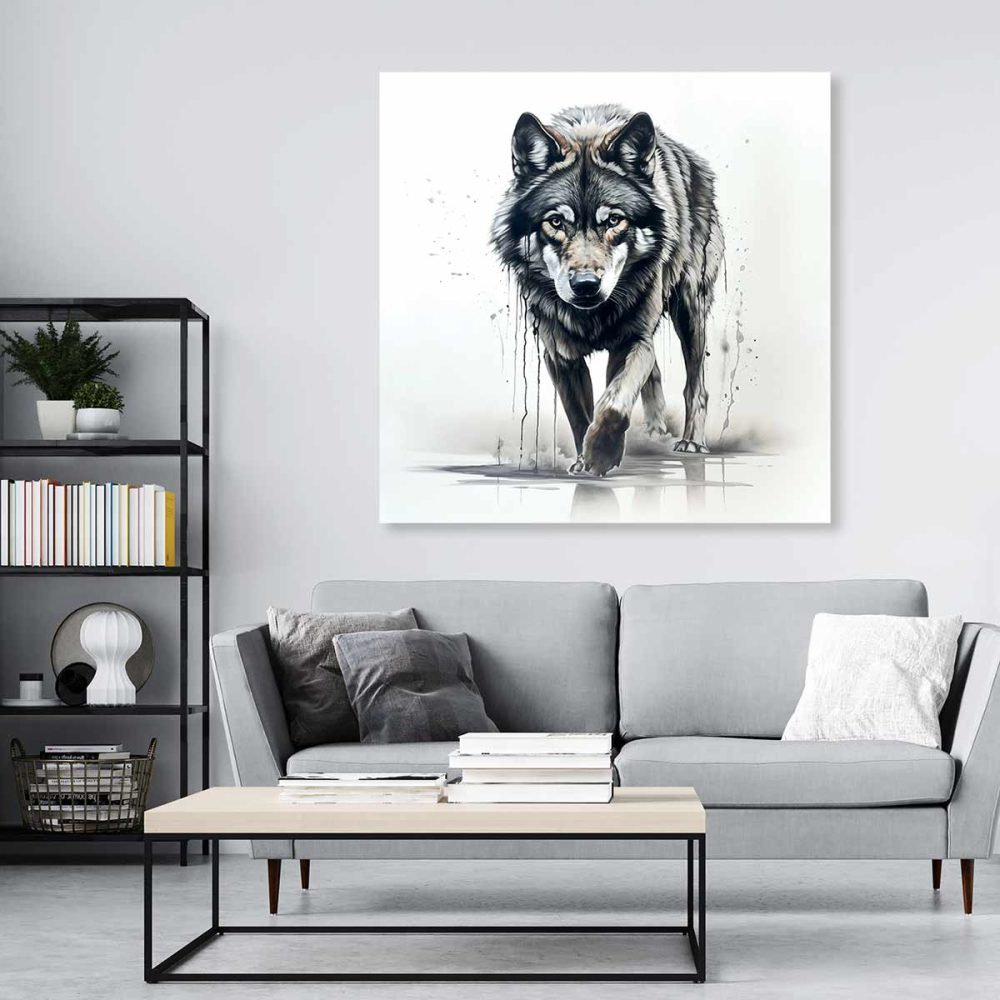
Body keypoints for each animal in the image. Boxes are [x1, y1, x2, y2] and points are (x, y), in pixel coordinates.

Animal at [491, 104, 724, 475]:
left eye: (614, 220)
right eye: (556, 221)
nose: (585, 286)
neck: (592, 318)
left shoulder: (632, 341)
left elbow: (613, 403)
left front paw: (601, 455)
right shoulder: (560, 356)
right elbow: (580, 415)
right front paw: (584, 461)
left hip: (690, 310)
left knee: (695, 385)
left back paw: (691, 442)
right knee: (655, 375)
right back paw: (653, 433)